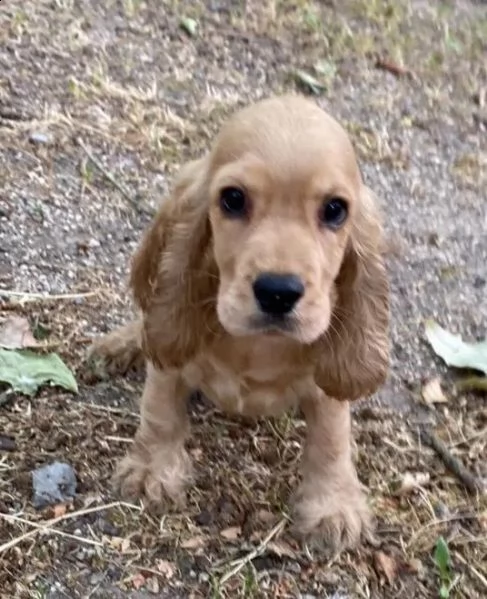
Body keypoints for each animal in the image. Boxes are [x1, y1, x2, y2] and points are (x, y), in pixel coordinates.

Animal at [90, 95, 388, 552]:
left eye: (335, 209)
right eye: (233, 198)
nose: (278, 292)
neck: (258, 346)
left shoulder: (326, 393)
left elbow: (332, 441)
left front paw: (333, 506)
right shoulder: (171, 364)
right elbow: (160, 410)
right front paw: (150, 470)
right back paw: (119, 345)